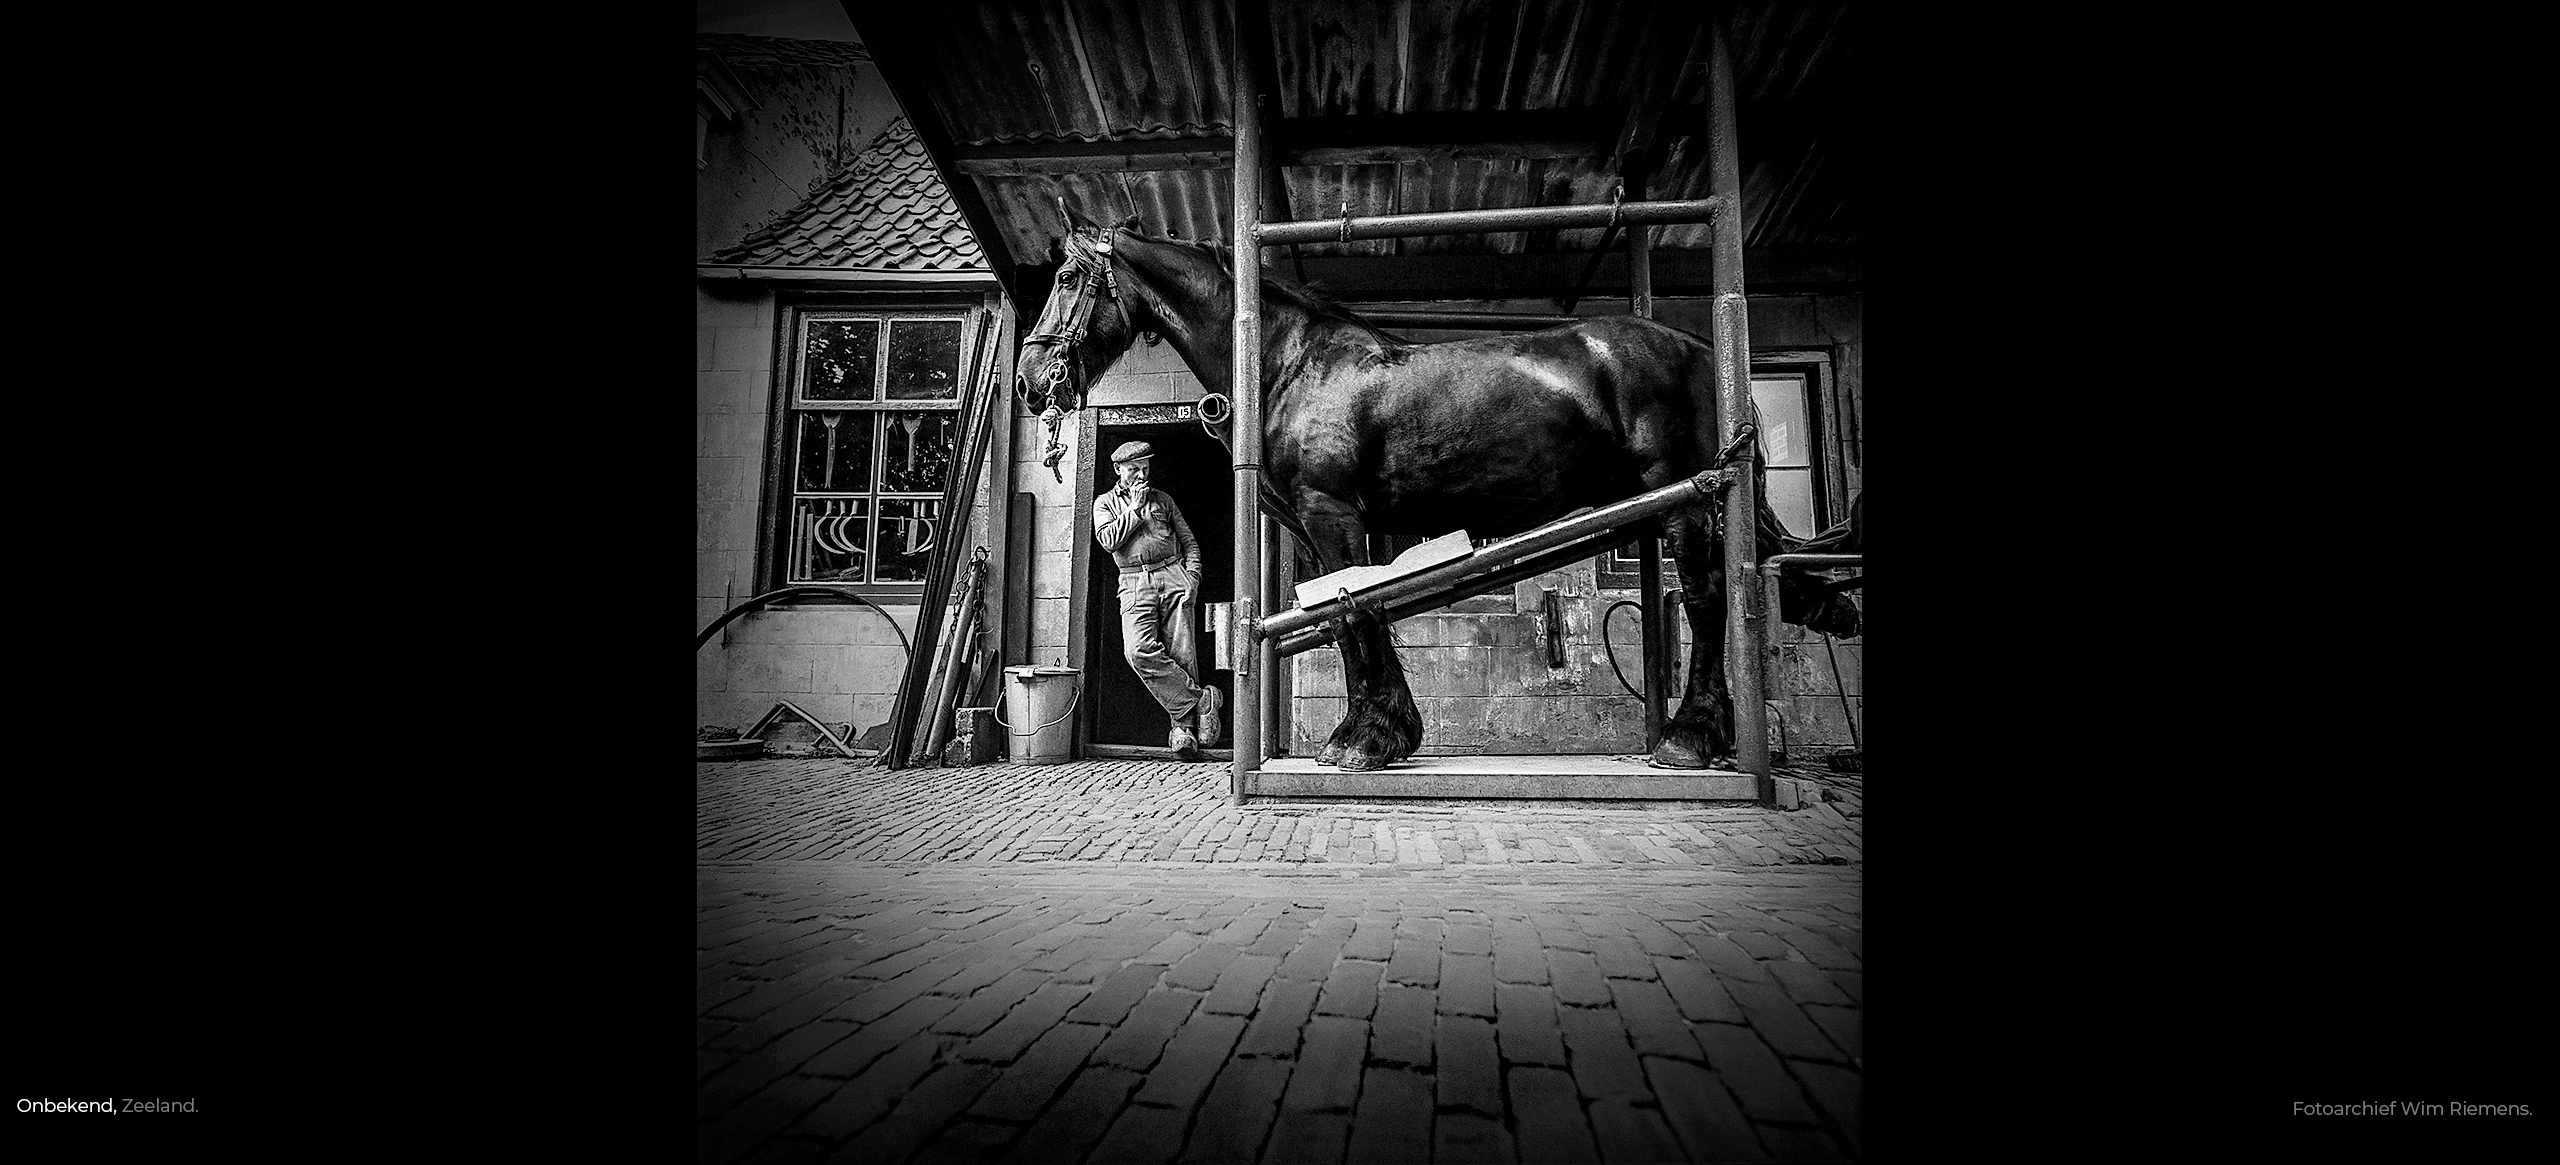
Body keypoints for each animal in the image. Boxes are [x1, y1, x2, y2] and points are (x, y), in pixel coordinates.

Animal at [1018, 212, 1863, 773]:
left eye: (1067, 278)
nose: (1031, 381)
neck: (1288, 365)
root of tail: (1704, 350)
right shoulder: (1319, 526)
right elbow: (1343, 618)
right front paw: (1378, 729)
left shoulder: (1335, 514)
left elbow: (1358, 615)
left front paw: (1367, 738)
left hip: (1684, 498)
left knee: (1709, 598)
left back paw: (1690, 736)